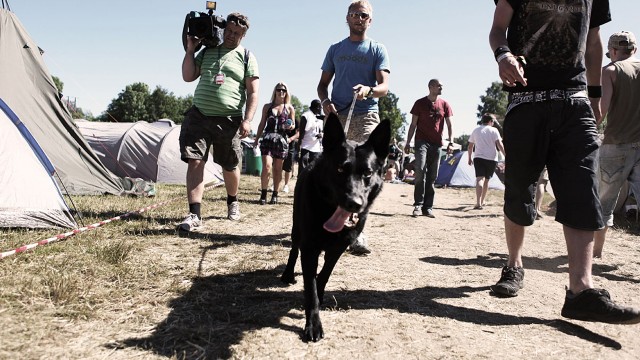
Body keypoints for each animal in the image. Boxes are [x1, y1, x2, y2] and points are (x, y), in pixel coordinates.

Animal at [282, 114, 390, 342]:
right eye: (340, 169)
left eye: (368, 173)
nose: (354, 203)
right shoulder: (309, 248)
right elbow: (310, 287)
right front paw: (313, 324)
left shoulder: (338, 249)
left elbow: (323, 276)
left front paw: (321, 294)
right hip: (297, 229)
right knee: (293, 249)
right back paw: (287, 274)